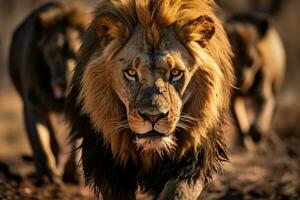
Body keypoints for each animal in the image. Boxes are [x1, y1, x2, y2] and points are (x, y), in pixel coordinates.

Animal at [9, 1, 89, 183]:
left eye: (76, 55)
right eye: (53, 53)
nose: (62, 82)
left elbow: (78, 141)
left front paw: (73, 174)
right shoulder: (34, 104)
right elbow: (40, 141)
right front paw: (47, 175)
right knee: (53, 141)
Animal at [65, 0, 234, 198]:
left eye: (175, 72)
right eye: (131, 73)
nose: (153, 116)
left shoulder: (193, 159)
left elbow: (178, 192)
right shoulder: (108, 163)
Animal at [227, 12, 286, 147]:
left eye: (251, 61)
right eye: (233, 60)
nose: (242, 79)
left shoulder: (263, 93)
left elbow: (263, 112)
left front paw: (256, 133)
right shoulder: (234, 98)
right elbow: (240, 119)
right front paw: (245, 140)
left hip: (276, 86)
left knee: (272, 111)